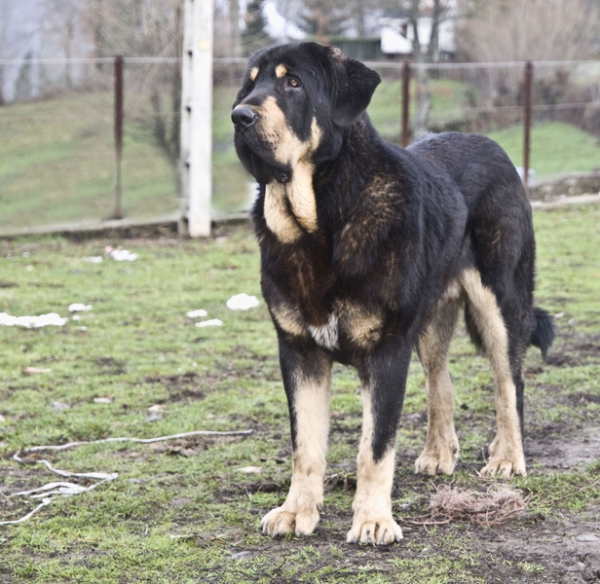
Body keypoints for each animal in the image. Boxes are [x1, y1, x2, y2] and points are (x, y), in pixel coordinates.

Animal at [230, 42, 552, 548]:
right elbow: (306, 445)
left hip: (500, 303)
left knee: (509, 384)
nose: (239, 116)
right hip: (428, 321)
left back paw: (506, 457)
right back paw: (440, 453)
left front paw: (373, 519)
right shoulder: (299, 351)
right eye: (251, 85)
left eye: (293, 83)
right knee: (441, 380)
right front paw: (297, 511)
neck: (322, 224)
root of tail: (494, 146)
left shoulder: (386, 350)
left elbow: (375, 447)